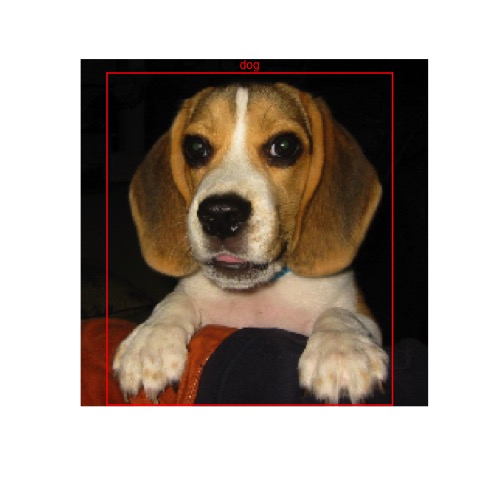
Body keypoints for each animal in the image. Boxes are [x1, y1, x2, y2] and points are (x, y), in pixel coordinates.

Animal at [113, 82, 388, 404]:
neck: (256, 295)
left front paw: (341, 350)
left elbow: (340, 313)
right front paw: (149, 341)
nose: (220, 215)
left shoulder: (364, 317)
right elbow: (175, 300)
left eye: (284, 146)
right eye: (195, 148)